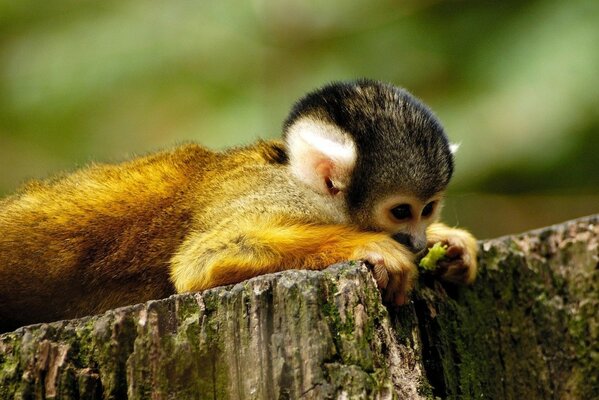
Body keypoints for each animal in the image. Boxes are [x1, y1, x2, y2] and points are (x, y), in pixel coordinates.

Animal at [0, 79, 478, 332]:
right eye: (401, 211)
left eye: (428, 209)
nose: (417, 242)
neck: (299, 181)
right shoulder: (275, 198)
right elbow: (204, 261)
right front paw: (373, 247)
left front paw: (450, 245)